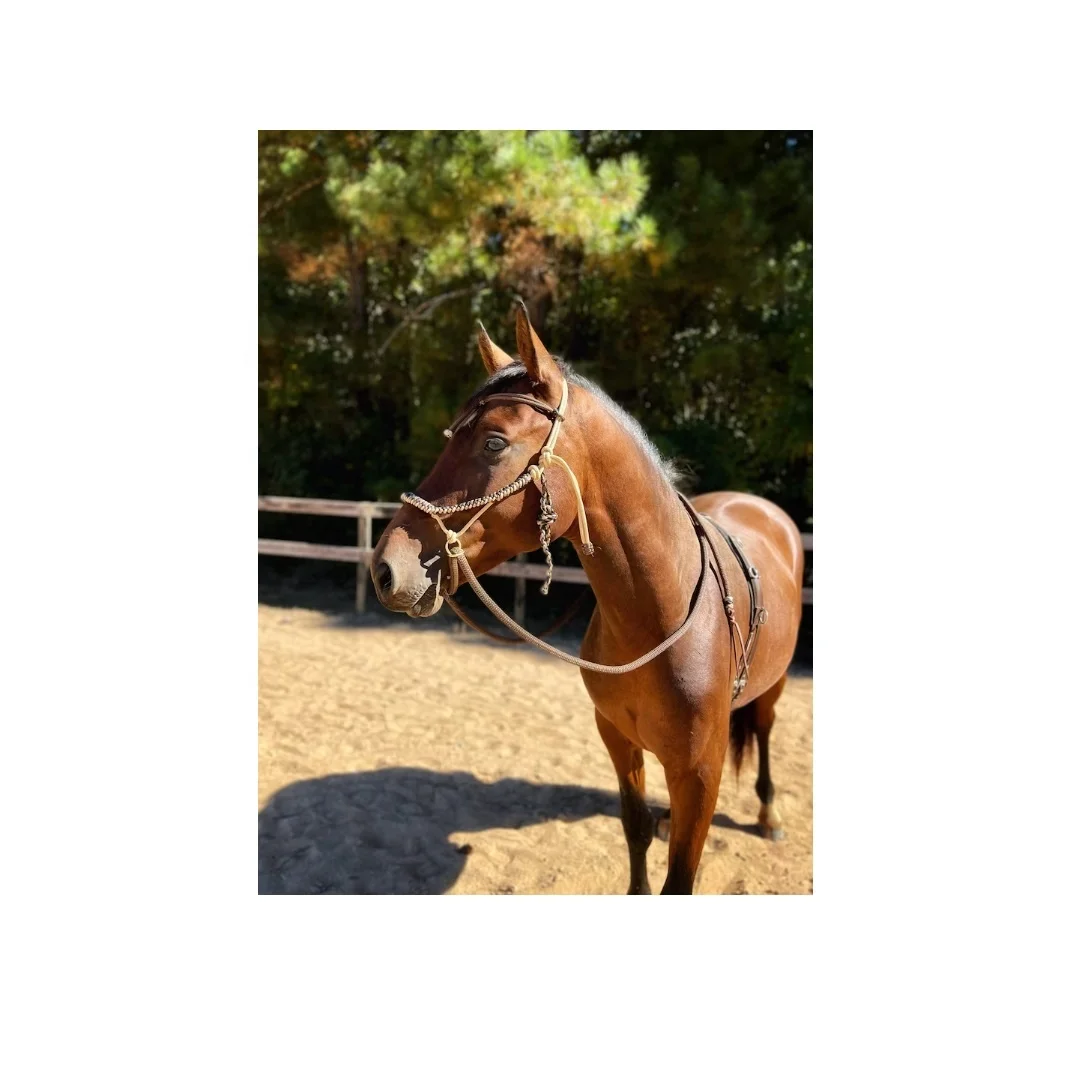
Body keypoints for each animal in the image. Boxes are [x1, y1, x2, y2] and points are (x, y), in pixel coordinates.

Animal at [370, 302, 804, 894]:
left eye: (493, 442)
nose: (386, 567)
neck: (658, 621)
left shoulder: (700, 771)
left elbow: (681, 876)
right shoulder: (619, 739)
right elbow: (636, 830)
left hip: (772, 687)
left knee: (762, 731)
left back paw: (770, 814)